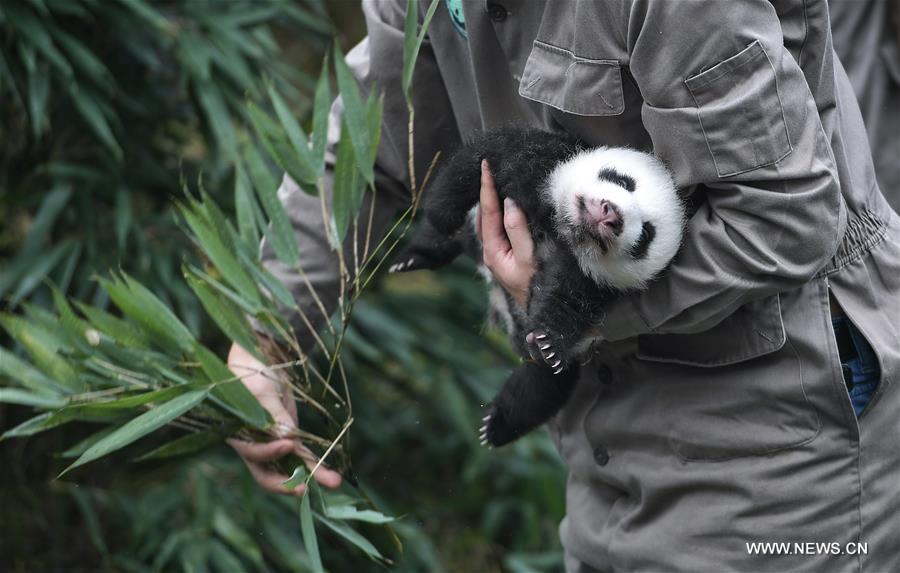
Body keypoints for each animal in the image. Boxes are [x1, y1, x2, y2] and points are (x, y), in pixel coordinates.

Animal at [390, 129, 686, 447]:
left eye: (646, 234)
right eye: (623, 181)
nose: (611, 215)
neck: (564, 231)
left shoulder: (589, 280)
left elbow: (567, 305)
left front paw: (547, 342)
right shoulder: (541, 167)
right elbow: (481, 160)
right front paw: (441, 214)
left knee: (541, 388)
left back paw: (497, 425)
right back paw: (413, 257)